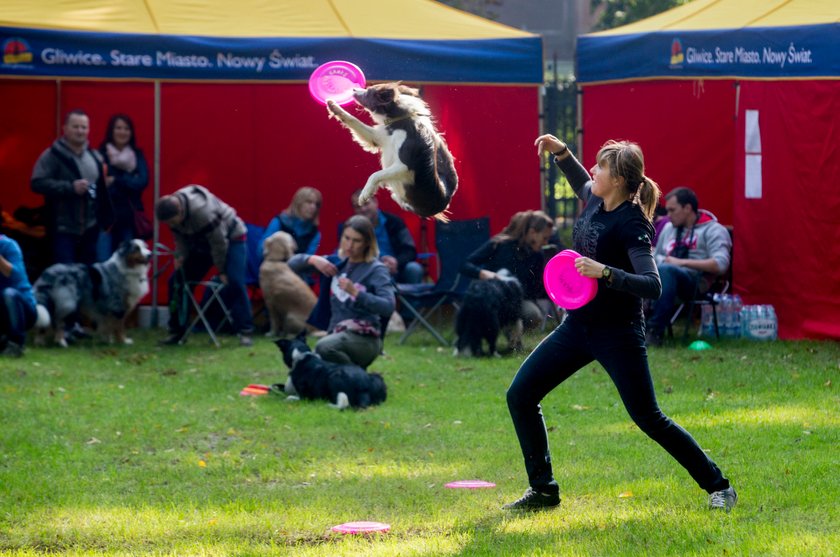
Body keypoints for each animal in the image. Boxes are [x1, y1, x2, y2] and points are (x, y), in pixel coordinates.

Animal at [328, 82, 460, 219]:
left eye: (369, 92)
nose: (353, 89)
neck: (399, 123)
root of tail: (447, 199)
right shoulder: (377, 138)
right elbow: (353, 120)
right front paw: (333, 106)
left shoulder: (404, 166)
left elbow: (376, 174)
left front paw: (365, 193)